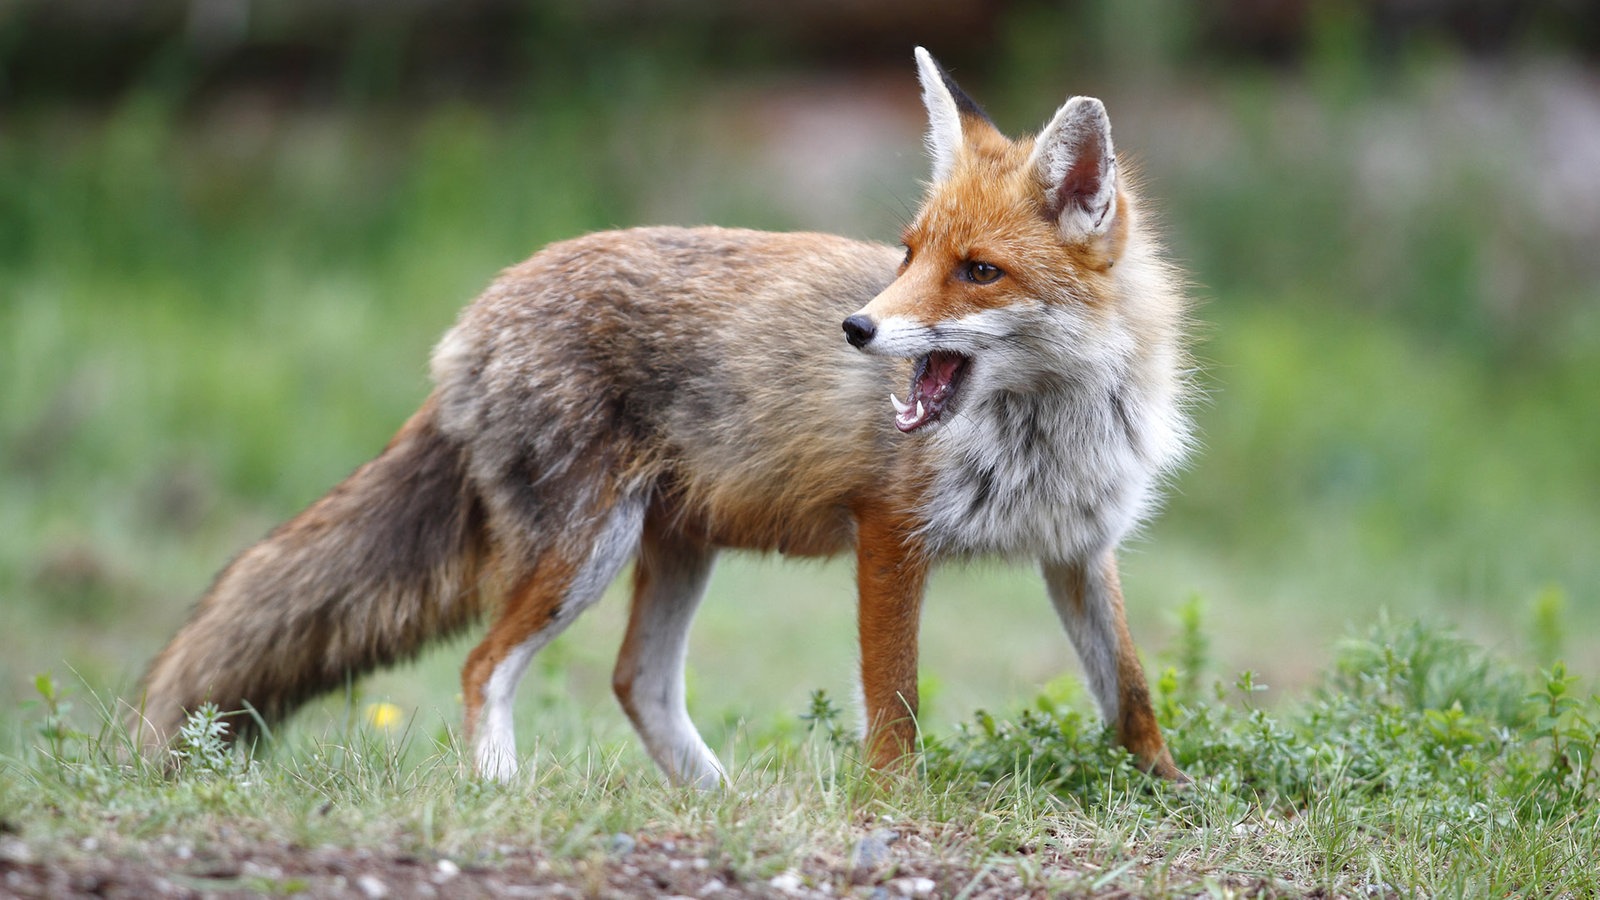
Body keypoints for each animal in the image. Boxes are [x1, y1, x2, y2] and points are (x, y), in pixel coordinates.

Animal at [134, 47, 1190, 784]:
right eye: (908, 253)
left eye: (977, 270)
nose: (856, 328)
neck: (1052, 429)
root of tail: (474, 317)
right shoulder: (890, 534)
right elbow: (895, 707)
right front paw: (896, 807)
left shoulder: (1078, 548)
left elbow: (1131, 689)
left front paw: (1170, 789)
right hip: (582, 551)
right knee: (484, 667)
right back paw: (501, 789)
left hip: (677, 543)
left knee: (634, 681)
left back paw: (720, 800)